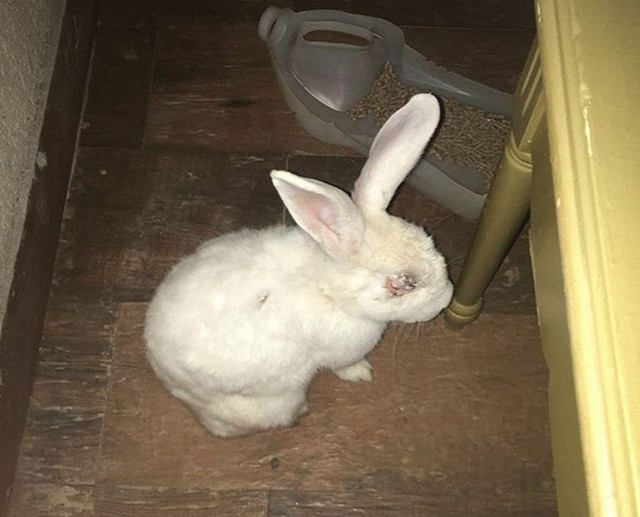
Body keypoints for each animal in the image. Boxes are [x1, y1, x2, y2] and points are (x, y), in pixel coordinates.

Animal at [144, 93, 453, 437]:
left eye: (430, 241)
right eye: (402, 284)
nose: (446, 300)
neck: (328, 287)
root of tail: (162, 373)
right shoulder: (342, 351)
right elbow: (345, 365)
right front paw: (362, 373)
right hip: (270, 403)